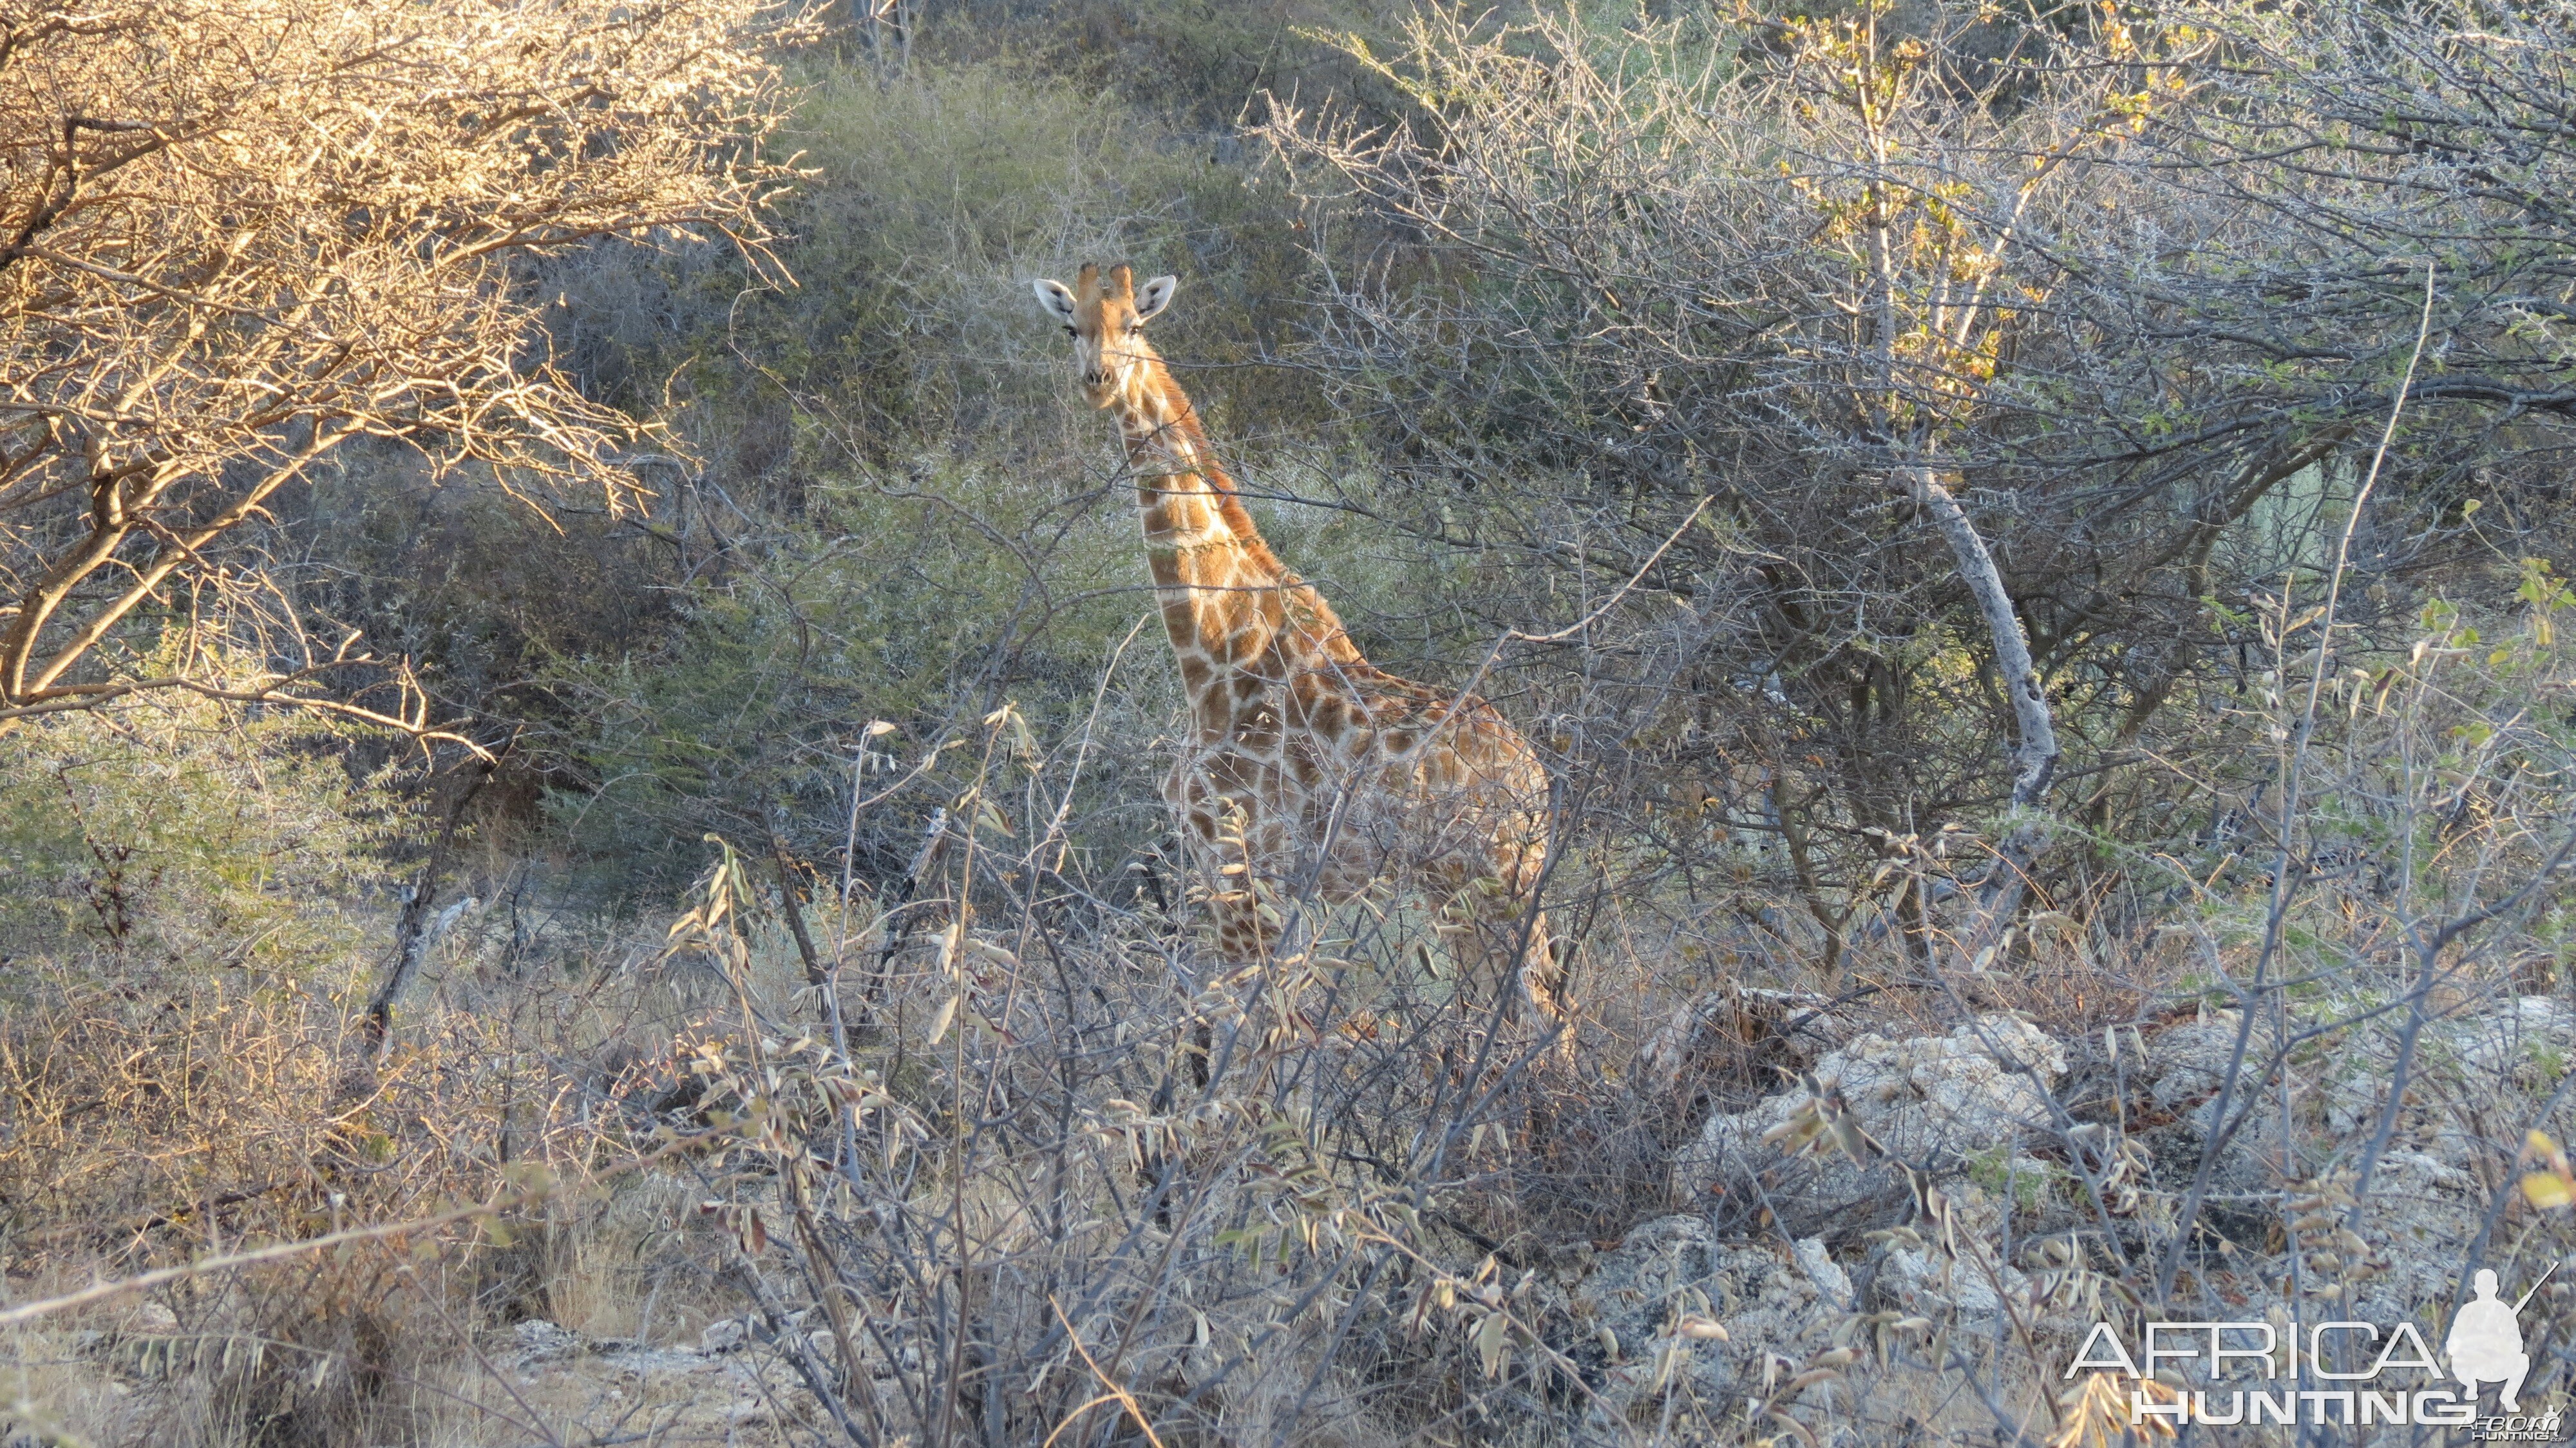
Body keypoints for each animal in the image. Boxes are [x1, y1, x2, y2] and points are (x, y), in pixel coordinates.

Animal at [1030, 265, 1566, 1031]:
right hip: (1467, 890)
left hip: (1489, 880)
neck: (1216, 656)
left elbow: (1247, 1025)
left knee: (1546, 1013)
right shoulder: (1232, 874)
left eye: (1134, 323)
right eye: (1070, 327)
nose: (1098, 381)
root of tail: (1537, 783)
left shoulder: (1243, 866)